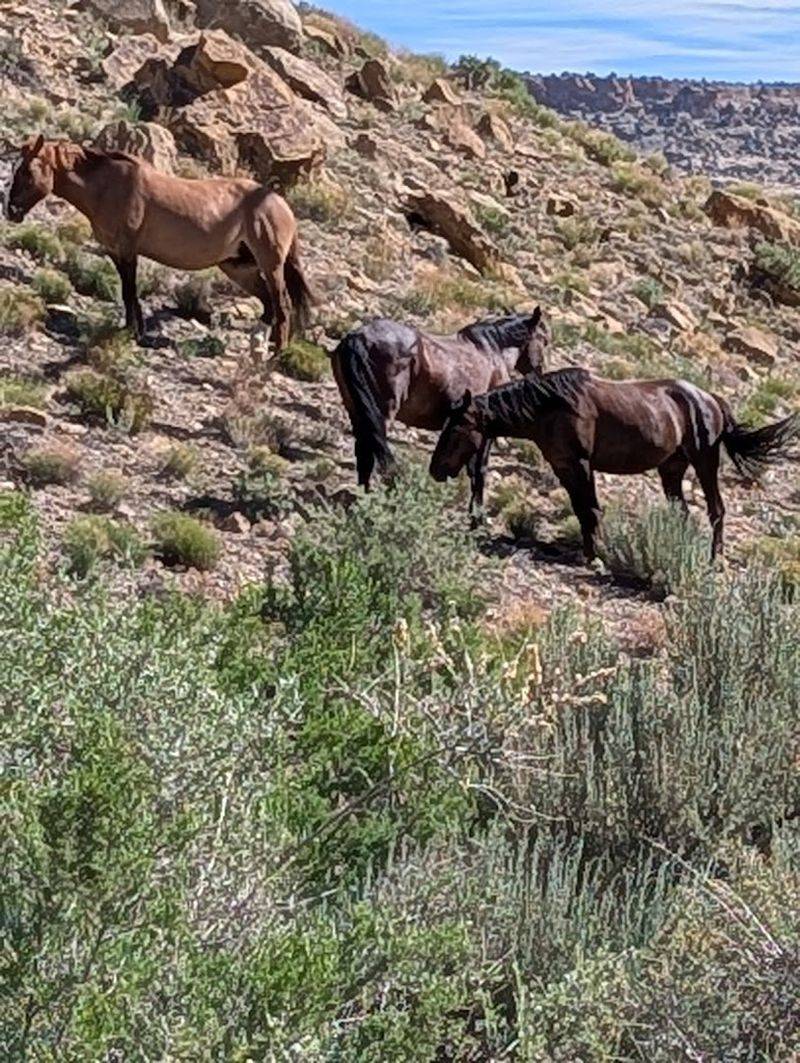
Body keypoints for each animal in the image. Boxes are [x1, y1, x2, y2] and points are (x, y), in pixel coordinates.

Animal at [4, 135, 313, 349]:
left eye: (27, 172)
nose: (11, 211)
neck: (108, 187)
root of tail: (280, 204)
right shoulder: (116, 253)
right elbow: (128, 293)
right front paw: (132, 330)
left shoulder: (128, 251)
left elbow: (130, 291)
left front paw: (135, 333)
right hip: (239, 267)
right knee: (269, 304)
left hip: (270, 265)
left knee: (282, 304)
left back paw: (276, 353)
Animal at [331, 308, 549, 514]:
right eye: (543, 340)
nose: (539, 373)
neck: (492, 351)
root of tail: (356, 338)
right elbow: (479, 470)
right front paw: (476, 517)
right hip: (381, 413)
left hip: (358, 412)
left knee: (364, 456)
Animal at [430, 369, 799, 560]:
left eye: (456, 428)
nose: (435, 469)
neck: (551, 407)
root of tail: (711, 400)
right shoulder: (564, 467)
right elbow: (581, 510)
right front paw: (589, 553)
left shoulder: (581, 464)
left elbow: (591, 509)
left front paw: (598, 557)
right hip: (672, 469)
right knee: (682, 512)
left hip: (704, 461)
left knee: (716, 510)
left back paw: (714, 559)